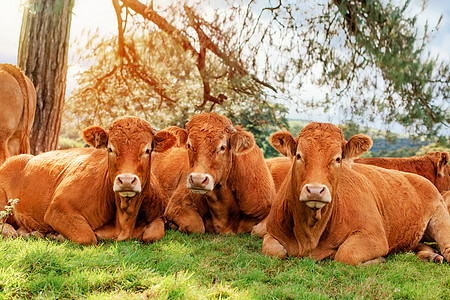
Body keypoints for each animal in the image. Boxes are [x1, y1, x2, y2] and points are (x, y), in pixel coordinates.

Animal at [0, 116, 176, 245]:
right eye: (110, 148)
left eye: (148, 150)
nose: (126, 180)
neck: (124, 222)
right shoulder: (58, 209)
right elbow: (88, 237)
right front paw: (56, 235)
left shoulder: (158, 216)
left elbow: (154, 234)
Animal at [262, 122, 450, 264]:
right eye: (299, 155)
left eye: (338, 158)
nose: (315, 190)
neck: (310, 234)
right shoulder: (271, 233)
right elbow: (273, 251)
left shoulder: (374, 236)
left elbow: (346, 255)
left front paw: (379, 260)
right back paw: (430, 255)